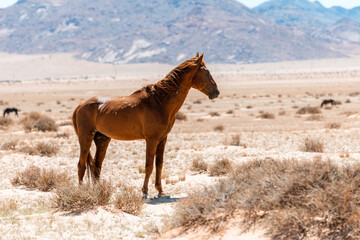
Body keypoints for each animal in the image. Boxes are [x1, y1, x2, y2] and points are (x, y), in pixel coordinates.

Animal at [72, 53, 219, 199]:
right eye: (206, 71)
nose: (216, 92)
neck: (159, 102)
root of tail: (81, 105)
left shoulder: (162, 139)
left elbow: (159, 164)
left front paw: (160, 191)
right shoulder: (151, 139)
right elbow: (149, 165)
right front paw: (144, 192)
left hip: (102, 140)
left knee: (97, 166)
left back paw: (98, 191)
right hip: (86, 139)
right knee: (81, 165)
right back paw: (81, 192)